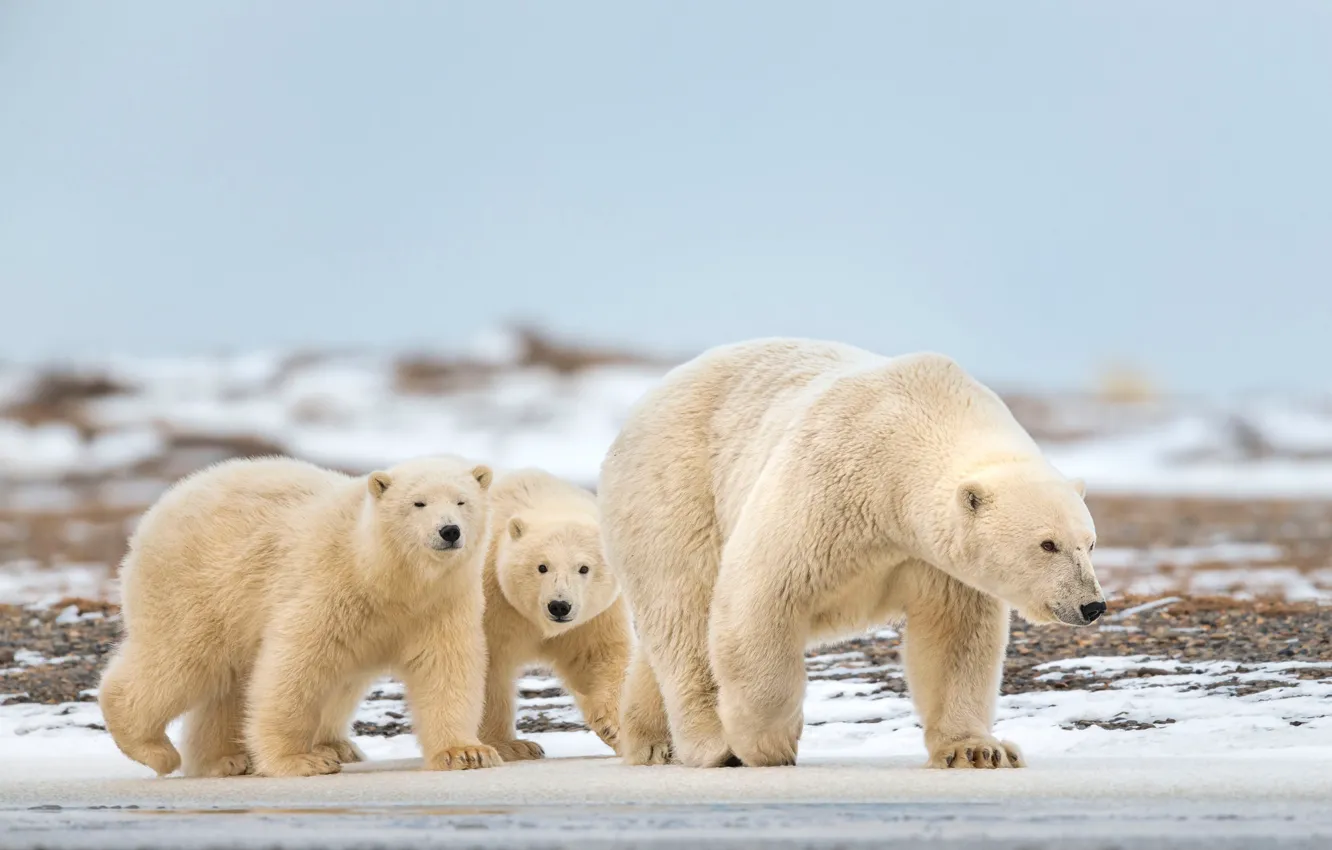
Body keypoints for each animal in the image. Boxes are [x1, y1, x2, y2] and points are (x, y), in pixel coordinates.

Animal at [602, 338, 1102, 772]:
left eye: (1089, 542)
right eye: (1047, 543)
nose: (1091, 604)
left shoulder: (934, 559)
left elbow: (956, 638)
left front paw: (978, 750)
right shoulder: (828, 483)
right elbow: (761, 597)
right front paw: (766, 744)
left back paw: (649, 740)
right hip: (676, 487)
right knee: (684, 609)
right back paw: (713, 744)